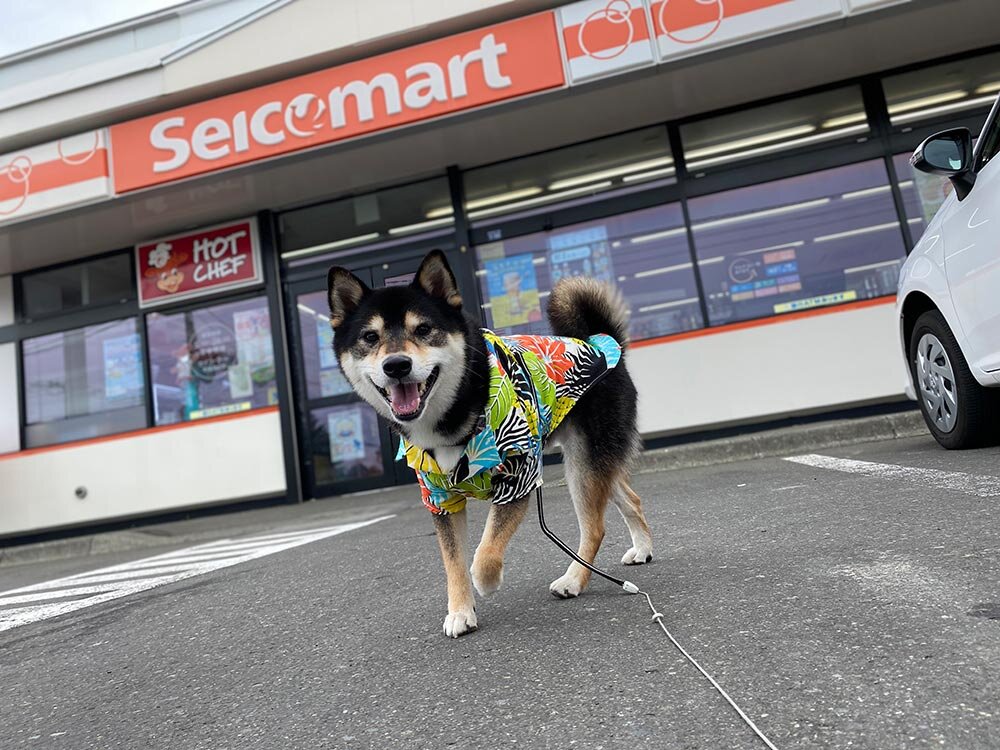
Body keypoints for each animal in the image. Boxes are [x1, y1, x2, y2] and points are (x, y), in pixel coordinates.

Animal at [328, 253, 652, 640]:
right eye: (369, 337)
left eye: (423, 329)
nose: (396, 365)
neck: (451, 419)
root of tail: (603, 343)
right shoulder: (439, 498)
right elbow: (453, 562)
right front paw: (460, 611)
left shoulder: (519, 477)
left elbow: (485, 552)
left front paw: (486, 581)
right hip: (595, 460)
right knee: (630, 498)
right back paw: (642, 549)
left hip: (584, 463)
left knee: (595, 527)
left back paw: (573, 580)